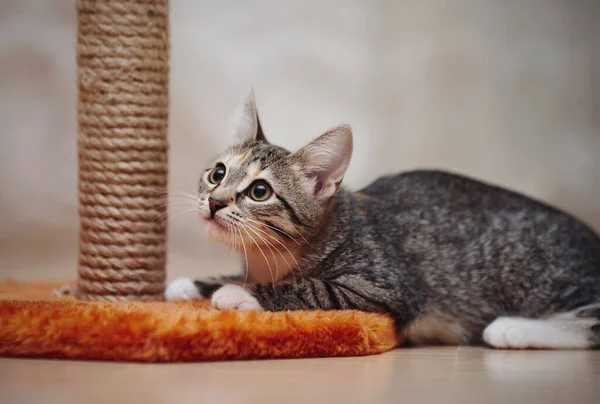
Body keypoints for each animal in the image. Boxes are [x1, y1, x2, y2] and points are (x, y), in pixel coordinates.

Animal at [165, 90, 600, 348]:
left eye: (259, 191)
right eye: (218, 173)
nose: (214, 202)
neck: (274, 254)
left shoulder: (387, 287)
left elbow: (313, 288)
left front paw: (239, 293)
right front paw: (194, 284)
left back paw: (511, 328)